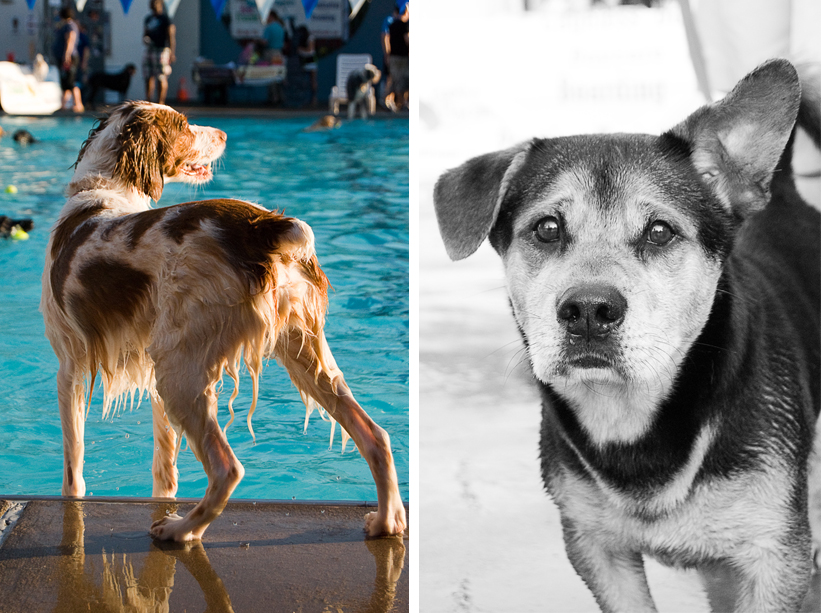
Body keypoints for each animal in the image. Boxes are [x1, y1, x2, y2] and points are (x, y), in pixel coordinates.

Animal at [41, 103, 406, 544]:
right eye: (183, 125)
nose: (224, 134)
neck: (101, 192)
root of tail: (261, 227)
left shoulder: (69, 367)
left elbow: (72, 470)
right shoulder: (141, 377)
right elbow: (164, 471)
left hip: (179, 369)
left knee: (227, 468)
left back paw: (181, 530)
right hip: (302, 353)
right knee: (375, 436)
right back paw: (387, 521)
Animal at [432, 58, 816, 612]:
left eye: (659, 232)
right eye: (547, 228)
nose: (589, 310)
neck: (634, 424)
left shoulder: (776, 556)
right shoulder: (595, 546)